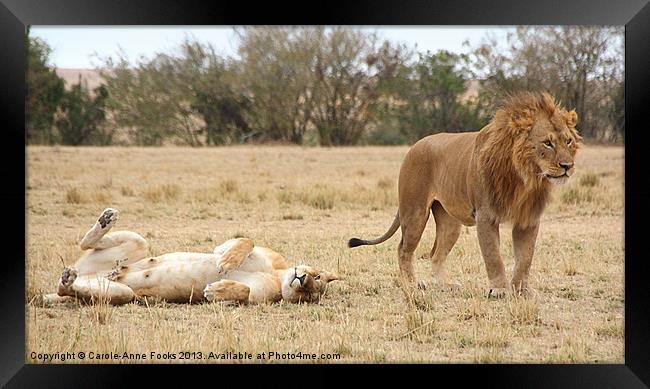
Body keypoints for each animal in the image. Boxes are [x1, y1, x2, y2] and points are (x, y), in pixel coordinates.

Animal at [43, 208, 340, 304]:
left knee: (67, 289)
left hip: (120, 294)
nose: (302, 280)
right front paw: (227, 262)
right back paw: (106, 219)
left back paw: (68, 280)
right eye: (317, 277)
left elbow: (243, 291)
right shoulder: (241, 247)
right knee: (85, 242)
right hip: (138, 244)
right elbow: (244, 241)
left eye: (311, 295)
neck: (277, 276)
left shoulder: (257, 299)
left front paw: (216, 290)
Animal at [346, 93, 580, 298]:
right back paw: (412, 284)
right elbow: (493, 256)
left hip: (450, 222)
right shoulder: (486, 216)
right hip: (415, 211)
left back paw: (446, 285)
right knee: (403, 248)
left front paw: (522, 290)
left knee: (436, 254)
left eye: (568, 141)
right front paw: (499, 290)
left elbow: (525, 259)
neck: (525, 177)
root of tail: (414, 146)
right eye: (547, 142)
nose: (567, 166)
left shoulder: (528, 219)